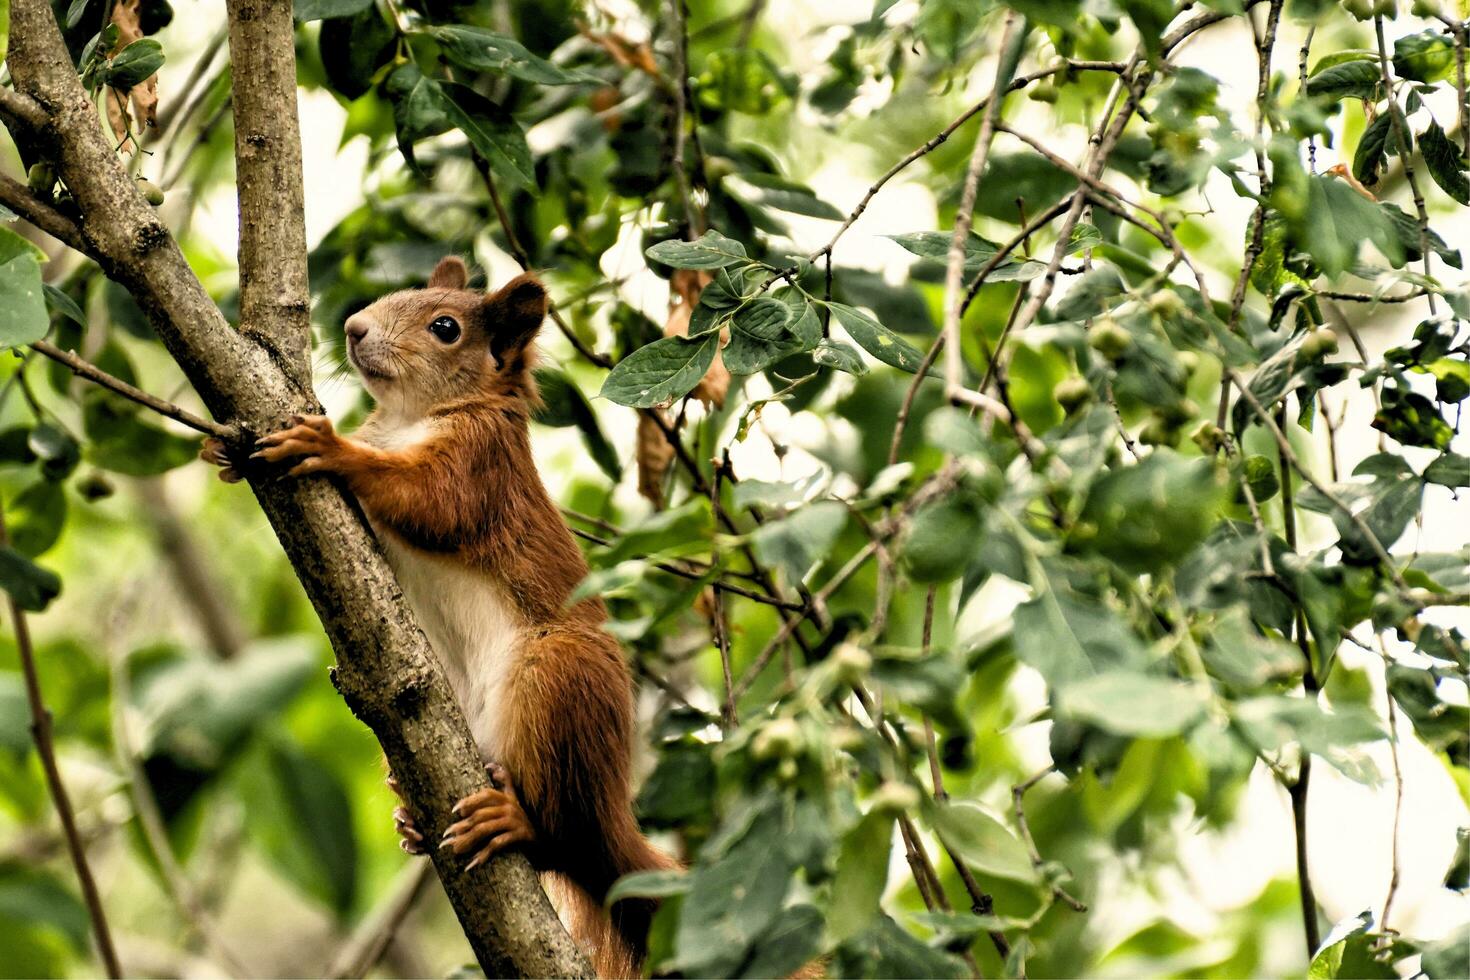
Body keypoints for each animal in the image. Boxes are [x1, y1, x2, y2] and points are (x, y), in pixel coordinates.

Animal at [202, 257, 673, 975]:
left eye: (445, 328)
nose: (354, 327)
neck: (410, 417)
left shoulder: (481, 464)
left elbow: (428, 500)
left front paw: (332, 447)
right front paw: (230, 454)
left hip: (558, 681)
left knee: (564, 839)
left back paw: (517, 823)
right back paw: (413, 817)